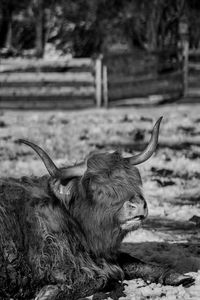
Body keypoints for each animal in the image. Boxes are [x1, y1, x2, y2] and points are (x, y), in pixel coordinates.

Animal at [0, 118, 195, 300]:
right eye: (96, 189)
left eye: (131, 180)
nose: (138, 205)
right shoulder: (58, 263)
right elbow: (99, 278)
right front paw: (48, 292)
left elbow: (133, 262)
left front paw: (180, 277)